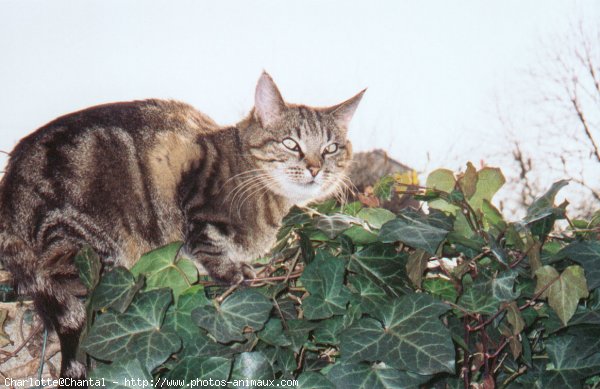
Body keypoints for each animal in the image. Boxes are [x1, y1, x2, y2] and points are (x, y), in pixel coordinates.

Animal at [0, 73, 366, 378]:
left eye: (331, 148)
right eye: (291, 143)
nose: (316, 168)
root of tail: (10, 192)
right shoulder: (197, 208)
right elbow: (213, 252)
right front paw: (238, 273)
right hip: (87, 246)